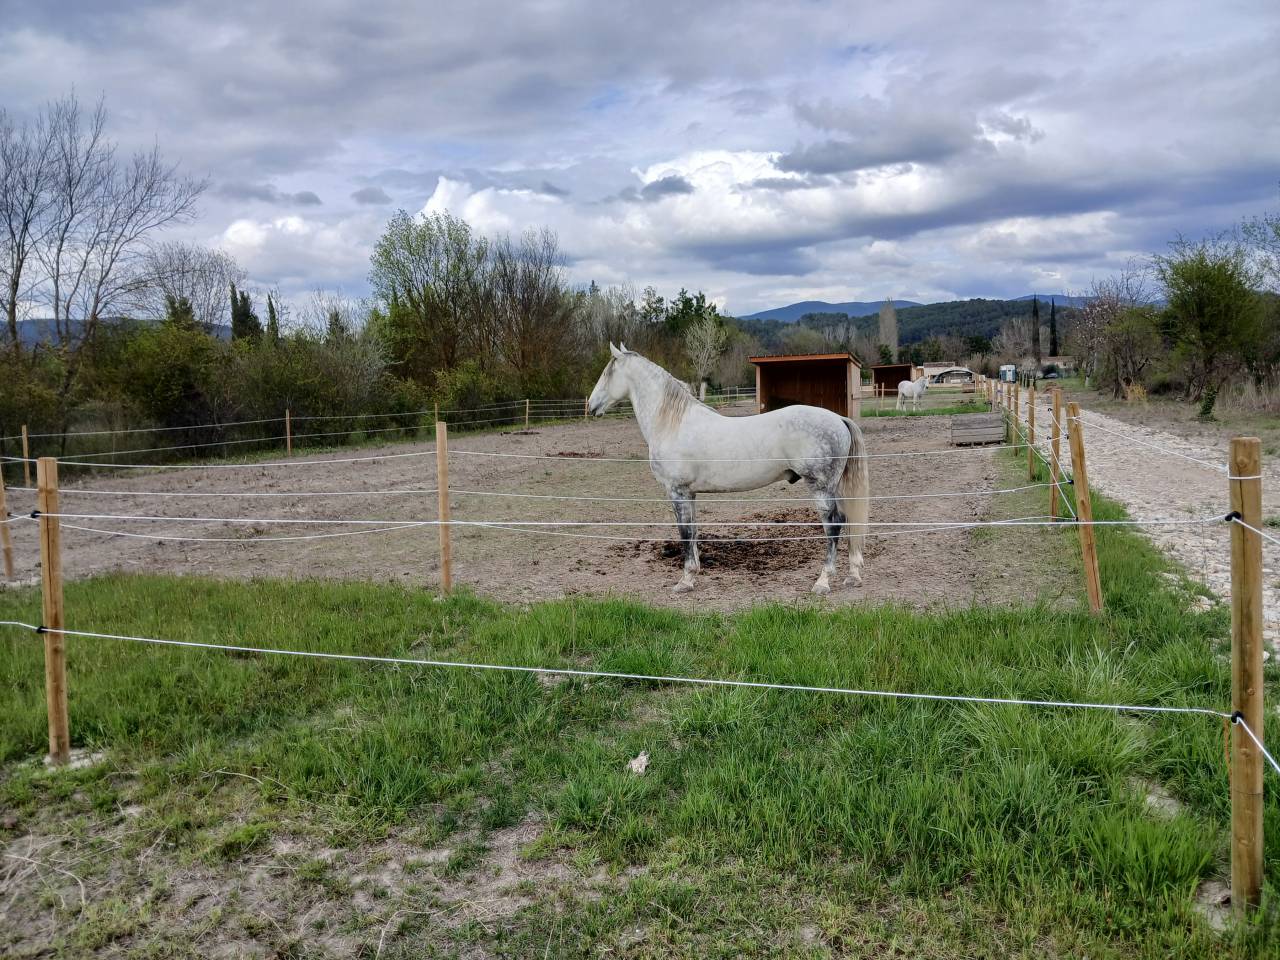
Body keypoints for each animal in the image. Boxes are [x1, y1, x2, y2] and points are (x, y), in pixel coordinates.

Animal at [587, 344, 869, 595]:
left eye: (607, 373)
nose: (590, 406)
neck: (672, 424)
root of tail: (838, 418)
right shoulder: (690, 494)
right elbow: (693, 531)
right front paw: (693, 574)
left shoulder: (677, 491)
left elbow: (684, 532)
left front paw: (684, 581)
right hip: (834, 487)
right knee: (848, 519)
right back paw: (853, 576)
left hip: (820, 487)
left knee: (834, 525)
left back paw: (823, 582)